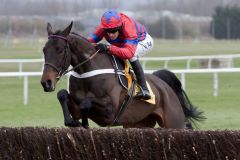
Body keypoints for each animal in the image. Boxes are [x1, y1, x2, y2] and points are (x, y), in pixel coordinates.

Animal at [40, 21, 204, 129]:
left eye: (60, 50)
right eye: (44, 50)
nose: (46, 82)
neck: (87, 71)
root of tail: (165, 86)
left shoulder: (110, 111)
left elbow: (86, 102)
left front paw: (85, 123)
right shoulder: (74, 106)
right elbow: (62, 95)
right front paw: (73, 122)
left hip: (174, 122)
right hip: (138, 124)